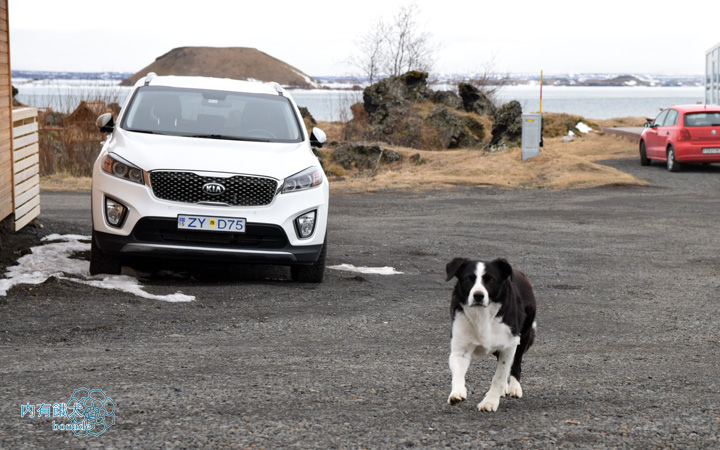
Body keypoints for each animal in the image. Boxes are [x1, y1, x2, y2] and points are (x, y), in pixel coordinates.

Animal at [442, 256, 536, 412]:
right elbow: (458, 373)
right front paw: (457, 393)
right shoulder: (460, 349)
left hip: (524, 333)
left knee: (516, 363)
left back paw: (514, 387)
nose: (478, 295)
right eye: (468, 278)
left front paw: (490, 402)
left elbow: (499, 377)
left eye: (491, 280)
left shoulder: (509, 344)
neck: (482, 314)